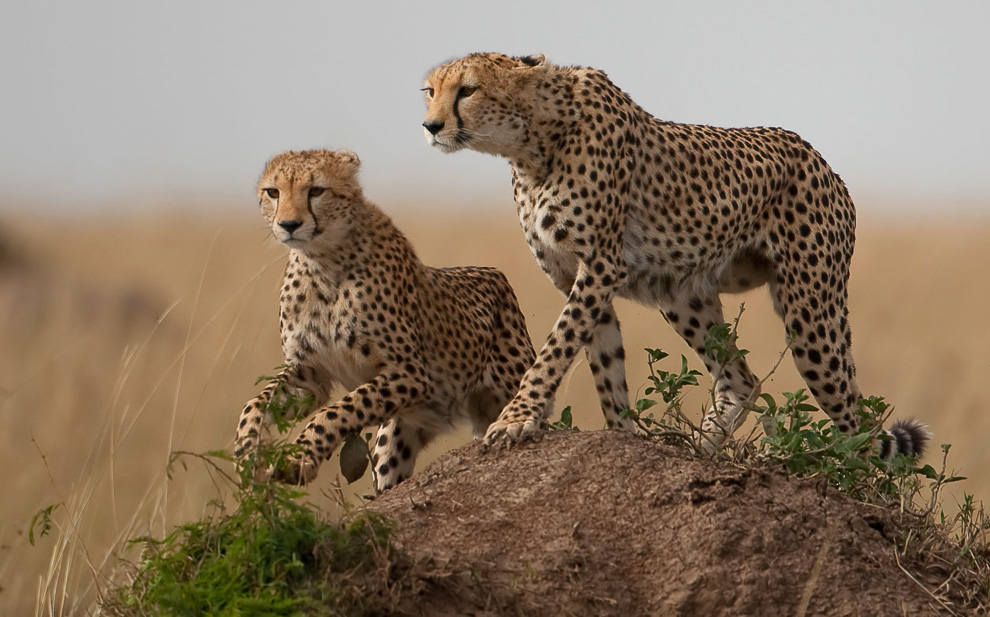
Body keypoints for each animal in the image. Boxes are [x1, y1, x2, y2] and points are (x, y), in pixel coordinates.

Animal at [233, 147, 540, 488]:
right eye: (273, 192)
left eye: (316, 191)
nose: (288, 224)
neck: (322, 262)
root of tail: (494, 272)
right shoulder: (308, 377)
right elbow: (253, 405)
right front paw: (247, 453)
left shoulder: (410, 374)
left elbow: (338, 410)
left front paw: (301, 458)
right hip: (395, 439)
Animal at [424, 53, 928, 458]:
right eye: (430, 92)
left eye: (467, 90)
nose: (430, 126)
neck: (532, 144)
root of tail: (823, 162)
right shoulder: (579, 276)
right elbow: (605, 368)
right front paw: (622, 438)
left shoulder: (600, 266)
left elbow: (554, 349)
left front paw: (515, 419)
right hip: (685, 298)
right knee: (742, 382)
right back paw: (698, 451)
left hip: (811, 317)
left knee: (856, 423)